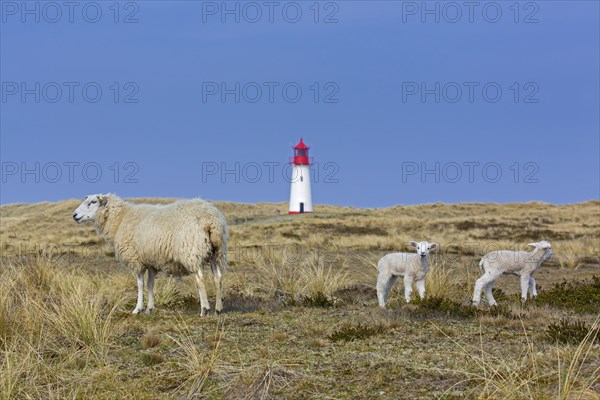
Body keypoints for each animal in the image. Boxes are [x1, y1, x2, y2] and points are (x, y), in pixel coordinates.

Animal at [72, 194, 227, 316]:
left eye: (92, 202)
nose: (74, 215)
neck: (119, 220)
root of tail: (210, 218)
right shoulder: (151, 262)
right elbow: (150, 285)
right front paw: (149, 308)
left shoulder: (136, 260)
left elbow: (140, 285)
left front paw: (137, 309)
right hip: (215, 251)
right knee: (218, 277)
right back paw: (218, 309)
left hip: (191, 251)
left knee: (200, 279)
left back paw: (205, 309)